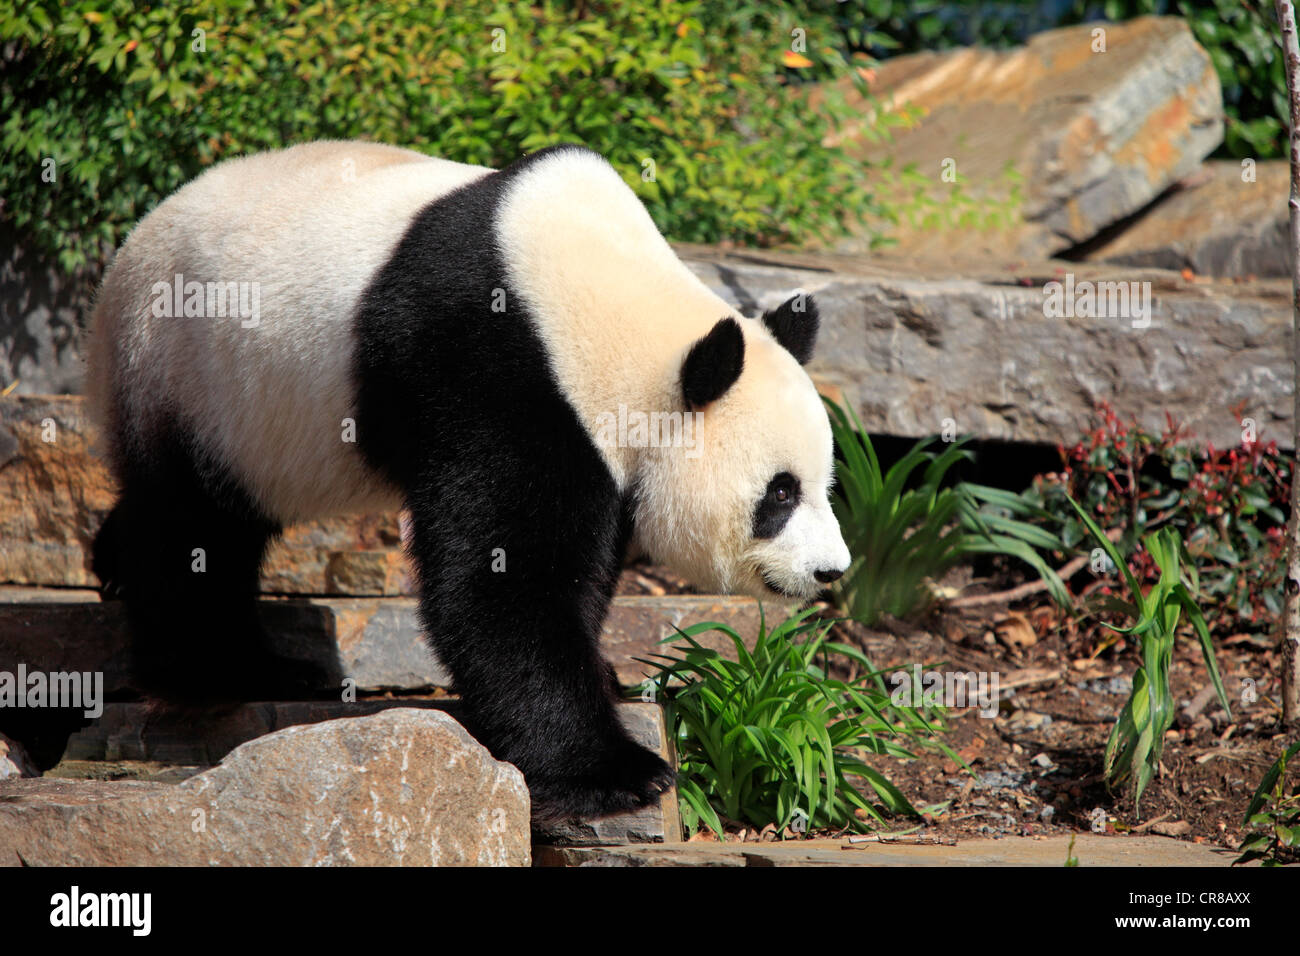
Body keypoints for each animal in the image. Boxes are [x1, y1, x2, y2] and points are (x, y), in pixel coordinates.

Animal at [85, 140, 851, 821]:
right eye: (780, 493)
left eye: (822, 485)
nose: (830, 571)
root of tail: (125, 254)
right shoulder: (494, 366)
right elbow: (498, 578)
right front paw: (615, 773)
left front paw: (603, 678)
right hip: (188, 371)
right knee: (194, 530)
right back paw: (220, 669)